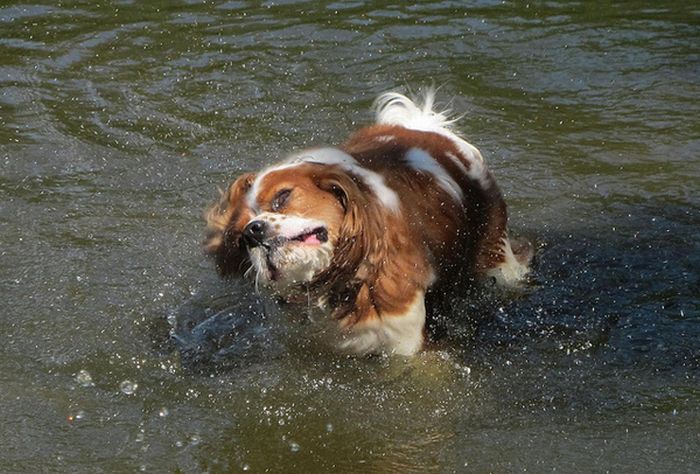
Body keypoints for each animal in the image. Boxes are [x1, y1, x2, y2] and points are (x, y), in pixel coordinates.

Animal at [205, 90, 532, 356]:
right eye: (240, 238)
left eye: (282, 197)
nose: (254, 230)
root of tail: (422, 128)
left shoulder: (404, 339)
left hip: (495, 258)